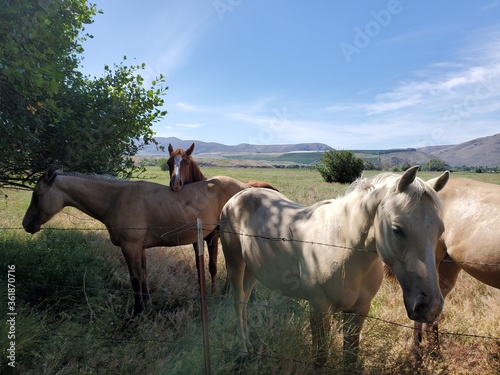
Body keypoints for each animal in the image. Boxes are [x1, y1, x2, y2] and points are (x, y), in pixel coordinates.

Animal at [22, 167, 249, 314]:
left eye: (37, 195)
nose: (26, 224)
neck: (116, 198)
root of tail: (244, 187)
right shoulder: (139, 247)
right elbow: (143, 275)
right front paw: (148, 306)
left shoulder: (129, 246)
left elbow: (134, 279)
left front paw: (138, 311)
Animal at [166, 142, 280, 292]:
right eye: (168, 163)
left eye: (187, 162)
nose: (175, 183)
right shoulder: (196, 240)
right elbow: (199, 265)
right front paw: (201, 289)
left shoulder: (213, 239)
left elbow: (212, 266)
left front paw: (213, 291)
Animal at [220, 169, 450, 368]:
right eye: (397, 229)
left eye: (441, 230)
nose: (430, 306)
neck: (344, 247)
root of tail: (240, 194)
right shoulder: (319, 309)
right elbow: (320, 359)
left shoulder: (358, 310)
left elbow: (350, 358)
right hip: (235, 264)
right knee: (238, 303)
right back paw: (244, 351)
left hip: (252, 270)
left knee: (244, 302)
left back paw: (249, 345)